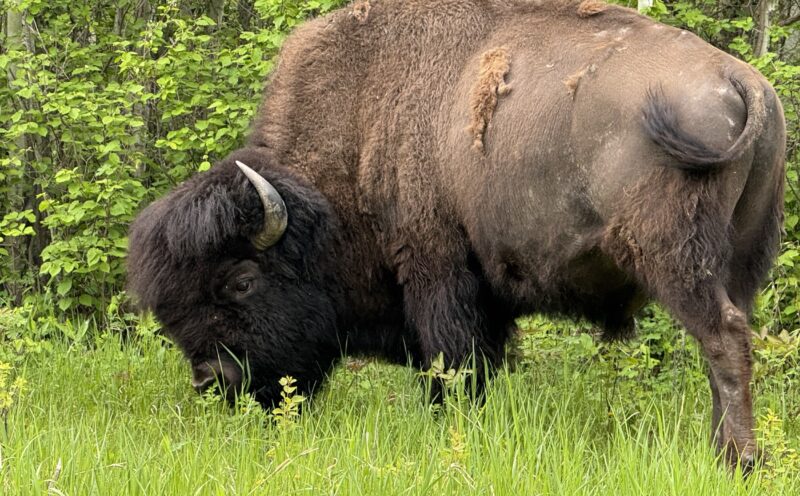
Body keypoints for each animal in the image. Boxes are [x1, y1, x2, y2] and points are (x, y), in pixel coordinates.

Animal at [128, 0, 786, 471]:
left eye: (241, 281)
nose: (213, 379)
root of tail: (742, 81)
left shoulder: (436, 269)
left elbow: (452, 364)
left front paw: (451, 434)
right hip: (742, 261)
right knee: (733, 340)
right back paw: (724, 449)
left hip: (675, 258)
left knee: (722, 338)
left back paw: (737, 461)